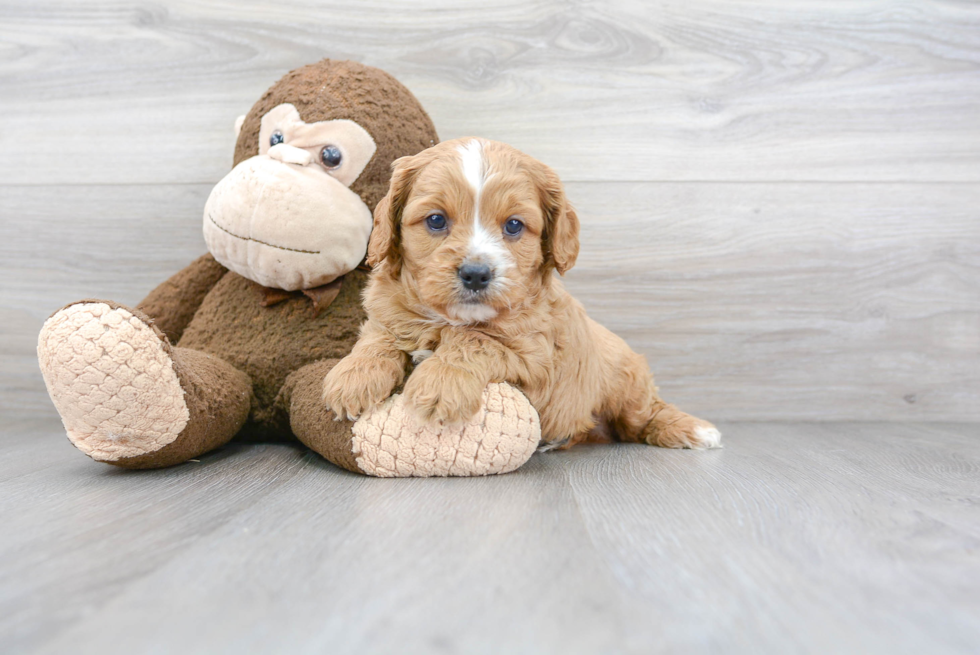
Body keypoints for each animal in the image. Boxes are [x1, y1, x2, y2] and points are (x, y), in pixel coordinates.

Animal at [322, 138, 720, 452]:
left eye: (514, 225)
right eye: (436, 220)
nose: (476, 274)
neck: (449, 320)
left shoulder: (535, 358)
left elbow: (476, 341)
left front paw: (440, 385)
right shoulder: (386, 313)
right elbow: (379, 338)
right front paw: (352, 378)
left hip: (626, 381)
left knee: (645, 415)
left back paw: (695, 430)